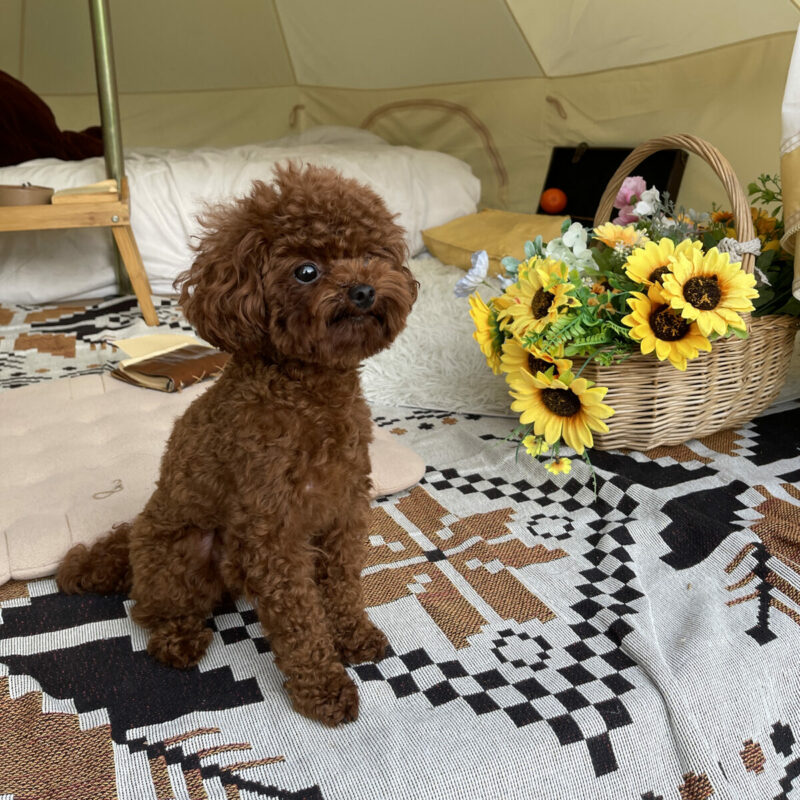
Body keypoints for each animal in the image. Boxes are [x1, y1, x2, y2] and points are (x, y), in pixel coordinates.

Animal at [57, 162, 418, 724]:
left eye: (373, 255)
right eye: (306, 271)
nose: (362, 291)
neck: (311, 395)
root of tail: (134, 531)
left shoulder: (344, 511)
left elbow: (343, 586)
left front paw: (356, 637)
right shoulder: (274, 532)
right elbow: (299, 619)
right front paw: (323, 688)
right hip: (182, 553)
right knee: (152, 609)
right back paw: (179, 640)